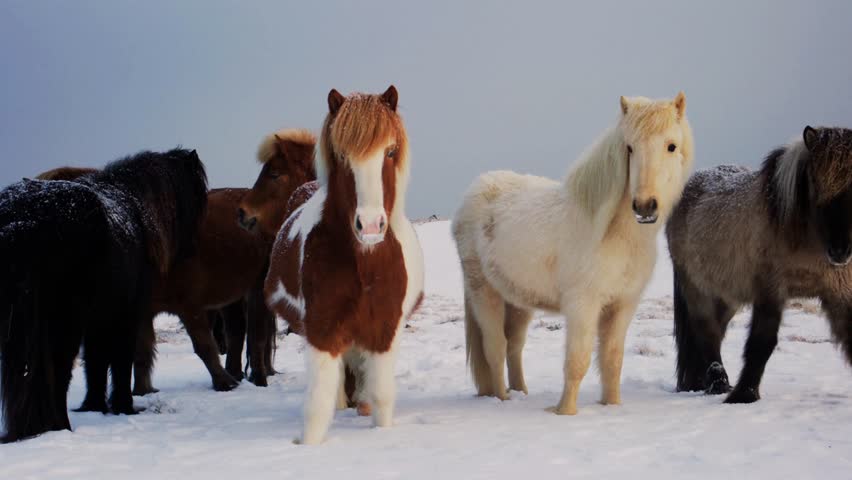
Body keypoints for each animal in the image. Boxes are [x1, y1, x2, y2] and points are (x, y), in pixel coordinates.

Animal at [0, 148, 208, 442]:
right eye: (199, 198)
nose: (192, 250)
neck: (136, 210)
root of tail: (25, 218)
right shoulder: (126, 316)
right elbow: (120, 360)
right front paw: (123, 406)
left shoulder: (98, 320)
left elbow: (95, 364)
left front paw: (94, 406)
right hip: (64, 324)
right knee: (59, 374)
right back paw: (61, 426)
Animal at [264, 86, 424, 444]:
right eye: (339, 155)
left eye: (390, 151)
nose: (370, 225)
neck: (365, 265)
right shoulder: (322, 331)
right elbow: (317, 406)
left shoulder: (384, 333)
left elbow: (382, 397)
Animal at [453, 93, 693, 415]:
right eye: (629, 147)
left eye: (671, 146)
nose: (645, 206)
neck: (614, 233)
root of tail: (474, 191)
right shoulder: (583, 305)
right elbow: (577, 361)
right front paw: (565, 412)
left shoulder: (623, 305)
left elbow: (612, 359)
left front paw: (612, 405)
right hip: (483, 291)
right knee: (495, 348)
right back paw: (502, 399)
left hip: (516, 300)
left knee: (514, 345)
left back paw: (520, 392)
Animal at [667, 126, 852, 403]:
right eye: (815, 185)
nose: (840, 251)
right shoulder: (770, 290)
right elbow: (761, 342)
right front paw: (744, 395)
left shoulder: (839, 293)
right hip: (696, 288)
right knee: (707, 333)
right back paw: (718, 384)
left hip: (727, 295)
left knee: (716, 332)